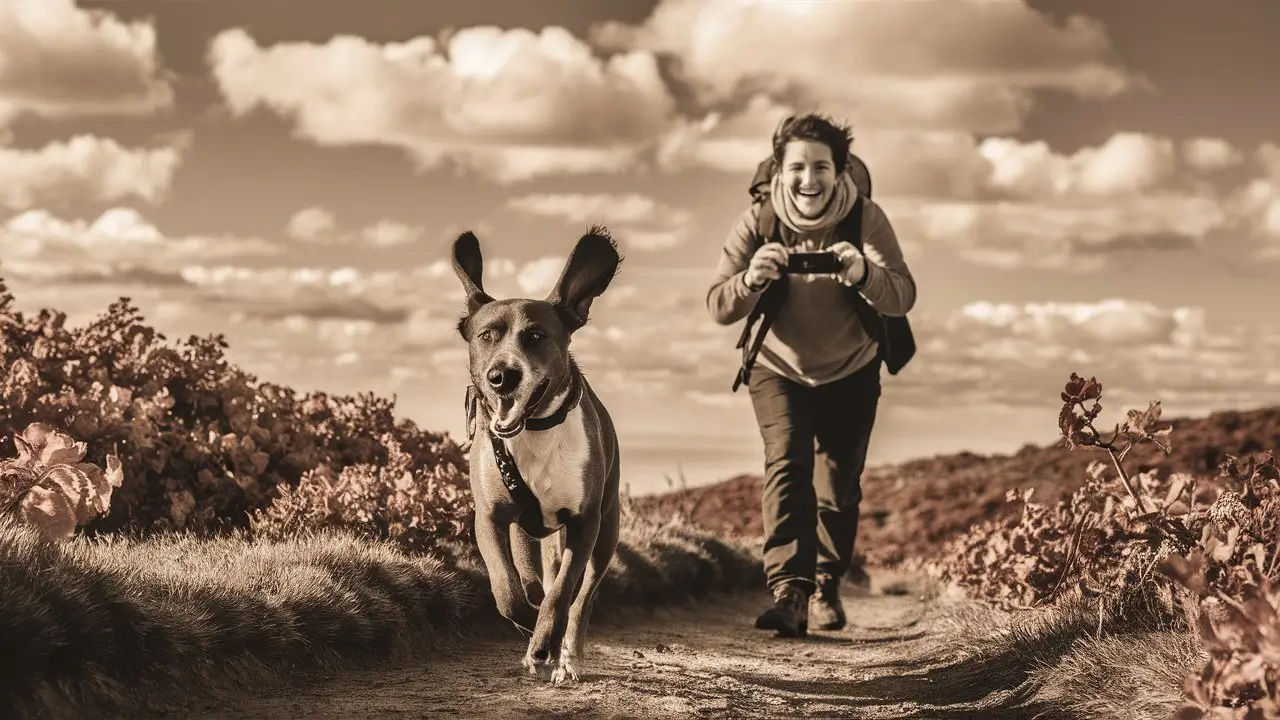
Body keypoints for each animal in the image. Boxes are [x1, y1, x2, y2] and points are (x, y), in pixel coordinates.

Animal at [450, 226, 624, 681]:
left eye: (535, 336)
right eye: (486, 335)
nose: (501, 376)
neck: (536, 430)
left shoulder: (584, 523)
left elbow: (563, 594)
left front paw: (546, 636)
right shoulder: (491, 518)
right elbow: (507, 591)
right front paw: (529, 628)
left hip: (607, 531)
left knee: (583, 600)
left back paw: (568, 659)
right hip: (527, 529)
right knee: (531, 580)